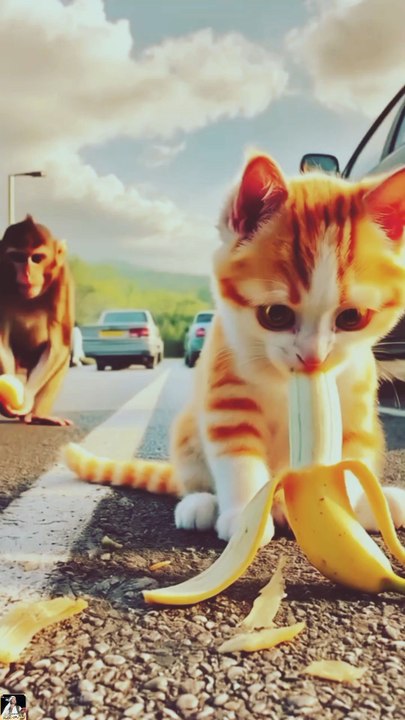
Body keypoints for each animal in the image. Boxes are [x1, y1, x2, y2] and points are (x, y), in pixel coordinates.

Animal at [0, 215, 74, 425]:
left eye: (37, 258)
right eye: (17, 257)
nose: (26, 273)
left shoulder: (62, 279)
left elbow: (58, 345)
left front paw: (27, 398)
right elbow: (2, 342)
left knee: (62, 358)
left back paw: (40, 415)